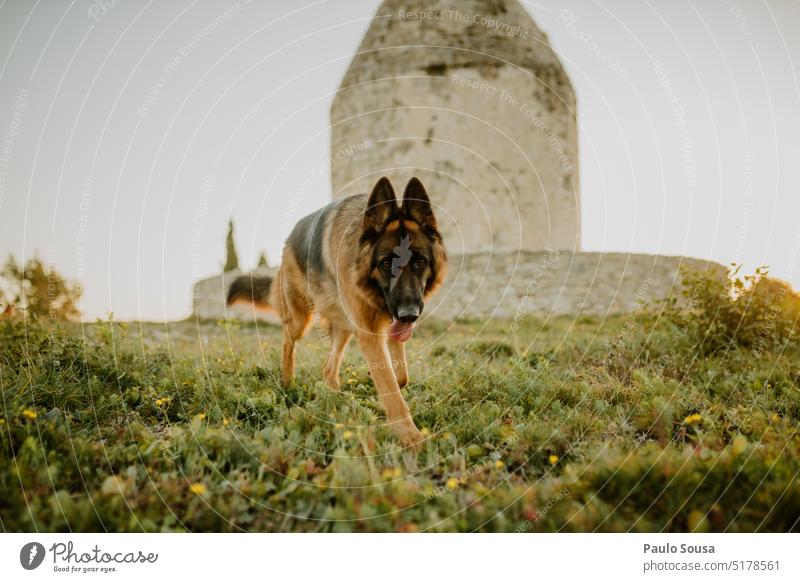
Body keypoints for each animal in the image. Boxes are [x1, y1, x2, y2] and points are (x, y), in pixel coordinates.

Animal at [228, 177, 446, 448]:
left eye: (419, 262)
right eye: (386, 263)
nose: (409, 314)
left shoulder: (388, 327)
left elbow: (400, 376)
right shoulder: (370, 333)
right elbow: (391, 387)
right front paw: (411, 437)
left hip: (344, 328)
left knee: (328, 370)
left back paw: (335, 402)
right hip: (300, 318)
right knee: (288, 343)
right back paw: (287, 384)